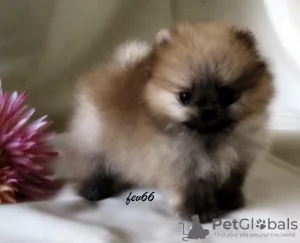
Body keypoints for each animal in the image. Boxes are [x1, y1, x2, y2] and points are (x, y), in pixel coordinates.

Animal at [66, 20, 274, 222]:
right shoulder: (182, 167)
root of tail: (117, 68)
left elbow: (231, 182)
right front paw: (200, 213)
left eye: (227, 94)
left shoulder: (237, 160)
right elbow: (192, 192)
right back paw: (94, 190)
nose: (208, 112)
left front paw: (230, 200)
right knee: (95, 165)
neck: (209, 137)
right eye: (185, 96)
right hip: (94, 138)